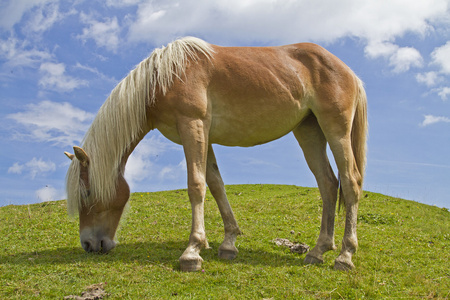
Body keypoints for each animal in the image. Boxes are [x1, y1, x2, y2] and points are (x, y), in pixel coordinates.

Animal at [65, 35, 368, 272]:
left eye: (88, 193)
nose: (89, 244)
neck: (165, 76)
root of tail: (349, 71)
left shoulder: (192, 125)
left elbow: (196, 185)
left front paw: (192, 252)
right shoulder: (203, 135)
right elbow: (215, 184)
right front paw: (227, 244)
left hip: (336, 130)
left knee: (350, 182)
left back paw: (345, 256)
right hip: (309, 132)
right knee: (328, 184)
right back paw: (318, 251)